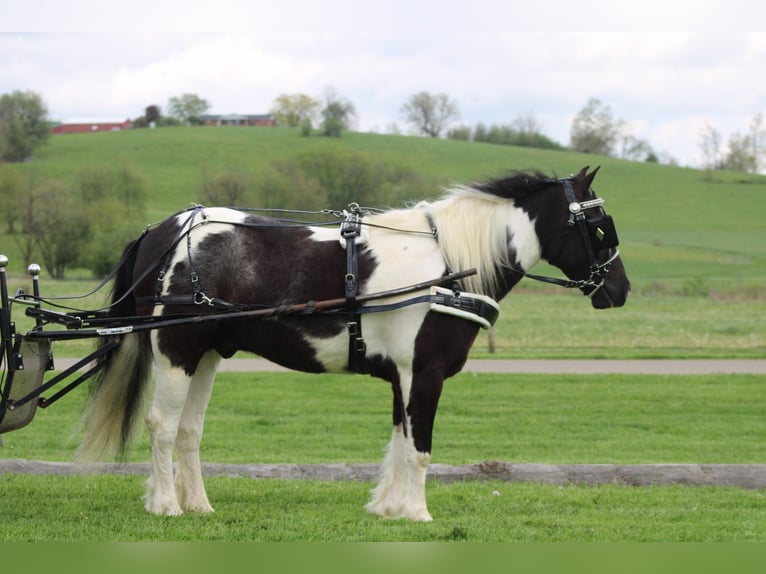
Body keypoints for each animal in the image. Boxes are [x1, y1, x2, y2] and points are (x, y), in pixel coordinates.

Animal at [79, 165, 630, 521]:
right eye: (600, 226)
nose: (620, 289)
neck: (447, 265)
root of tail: (163, 230)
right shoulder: (424, 374)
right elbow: (420, 448)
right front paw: (417, 513)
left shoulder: (402, 376)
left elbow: (400, 441)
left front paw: (389, 508)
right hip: (178, 351)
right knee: (163, 425)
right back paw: (165, 505)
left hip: (207, 355)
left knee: (189, 431)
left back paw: (197, 504)